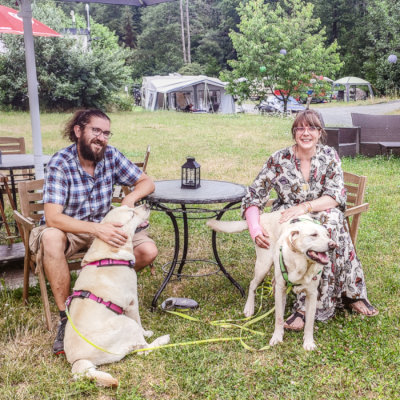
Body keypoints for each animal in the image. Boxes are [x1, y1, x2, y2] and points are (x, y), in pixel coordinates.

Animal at [63, 205, 169, 386]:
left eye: (130, 207)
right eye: (132, 214)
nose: (147, 204)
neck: (109, 255)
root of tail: (78, 362)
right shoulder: (132, 301)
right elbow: (139, 321)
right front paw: (146, 332)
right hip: (126, 324)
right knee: (143, 349)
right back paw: (163, 339)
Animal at [208, 211, 336, 352]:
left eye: (327, 235)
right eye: (313, 235)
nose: (333, 245)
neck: (301, 266)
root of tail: (265, 215)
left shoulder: (312, 294)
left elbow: (310, 322)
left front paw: (308, 342)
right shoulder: (281, 289)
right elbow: (279, 318)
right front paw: (277, 337)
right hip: (264, 264)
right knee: (253, 284)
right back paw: (249, 307)